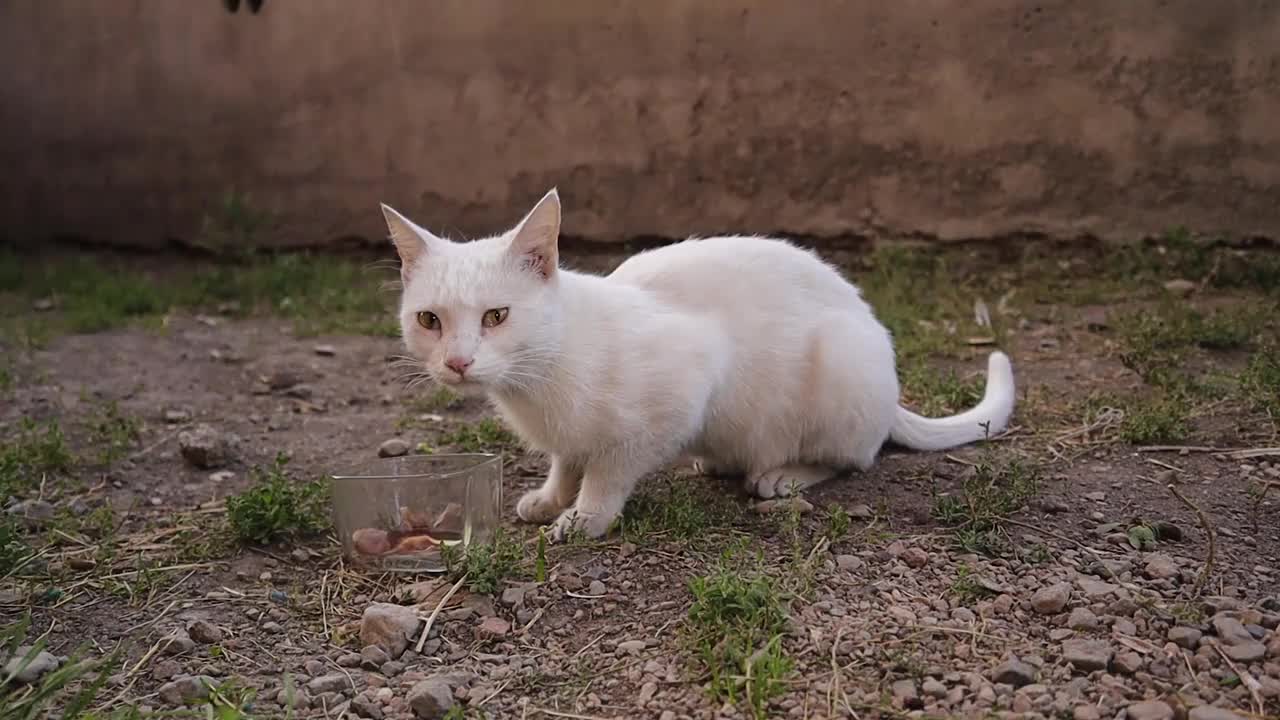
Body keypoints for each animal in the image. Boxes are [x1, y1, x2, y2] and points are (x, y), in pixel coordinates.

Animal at [376, 190, 1008, 538]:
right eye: (429, 320)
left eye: (497, 316)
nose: (458, 362)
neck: (540, 378)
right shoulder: (571, 435)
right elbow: (568, 458)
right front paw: (553, 497)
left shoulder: (681, 392)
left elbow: (608, 472)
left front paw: (585, 516)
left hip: (840, 367)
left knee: (854, 458)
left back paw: (782, 476)